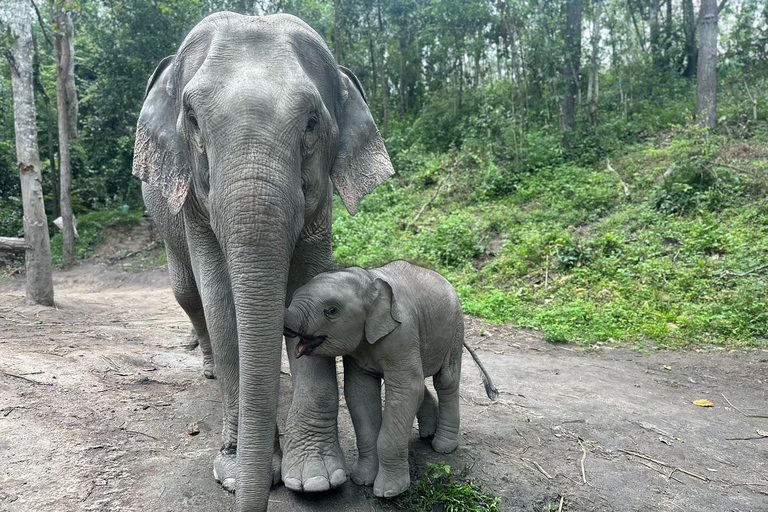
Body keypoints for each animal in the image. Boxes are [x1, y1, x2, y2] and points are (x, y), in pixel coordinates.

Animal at [132, 12, 392, 512]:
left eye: (311, 122)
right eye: (192, 120)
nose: (249, 495)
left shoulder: (321, 202)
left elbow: (311, 279)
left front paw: (316, 479)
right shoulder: (195, 207)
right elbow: (221, 302)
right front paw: (234, 473)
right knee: (187, 293)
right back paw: (211, 369)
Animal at [284, 260, 498, 496]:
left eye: (331, 311)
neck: (369, 281)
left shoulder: (402, 331)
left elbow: (405, 390)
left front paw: (389, 492)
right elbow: (360, 393)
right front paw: (362, 481)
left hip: (454, 329)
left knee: (445, 380)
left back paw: (442, 446)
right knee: (422, 382)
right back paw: (427, 434)